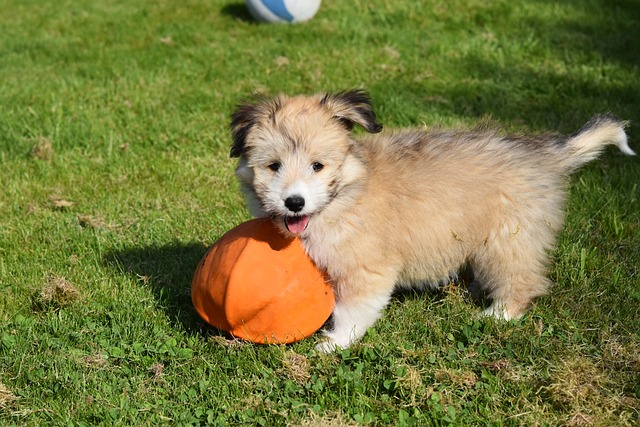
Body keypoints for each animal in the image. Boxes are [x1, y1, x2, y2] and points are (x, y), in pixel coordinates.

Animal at [228, 89, 632, 352]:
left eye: (318, 166)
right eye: (273, 166)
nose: (294, 202)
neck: (345, 195)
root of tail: (545, 154)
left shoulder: (366, 268)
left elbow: (351, 309)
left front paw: (334, 344)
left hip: (508, 238)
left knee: (521, 281)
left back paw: (498, 315)